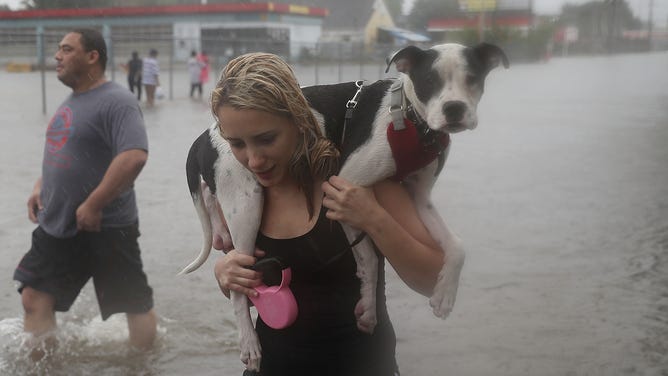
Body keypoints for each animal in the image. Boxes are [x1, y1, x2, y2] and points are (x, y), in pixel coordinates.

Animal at [180, 41, 508, 370]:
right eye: (429, 81)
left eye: (473, 78)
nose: (454, 109)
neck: (409, 119)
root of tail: (206, 134)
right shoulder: (344, 185)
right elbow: (370, 259)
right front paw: (369, 307)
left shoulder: (420, 198)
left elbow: (457, 245)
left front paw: (444, 295)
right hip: (247, 204)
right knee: (239, 287)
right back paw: (249, 342)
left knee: (212, 202)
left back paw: (220, 230)